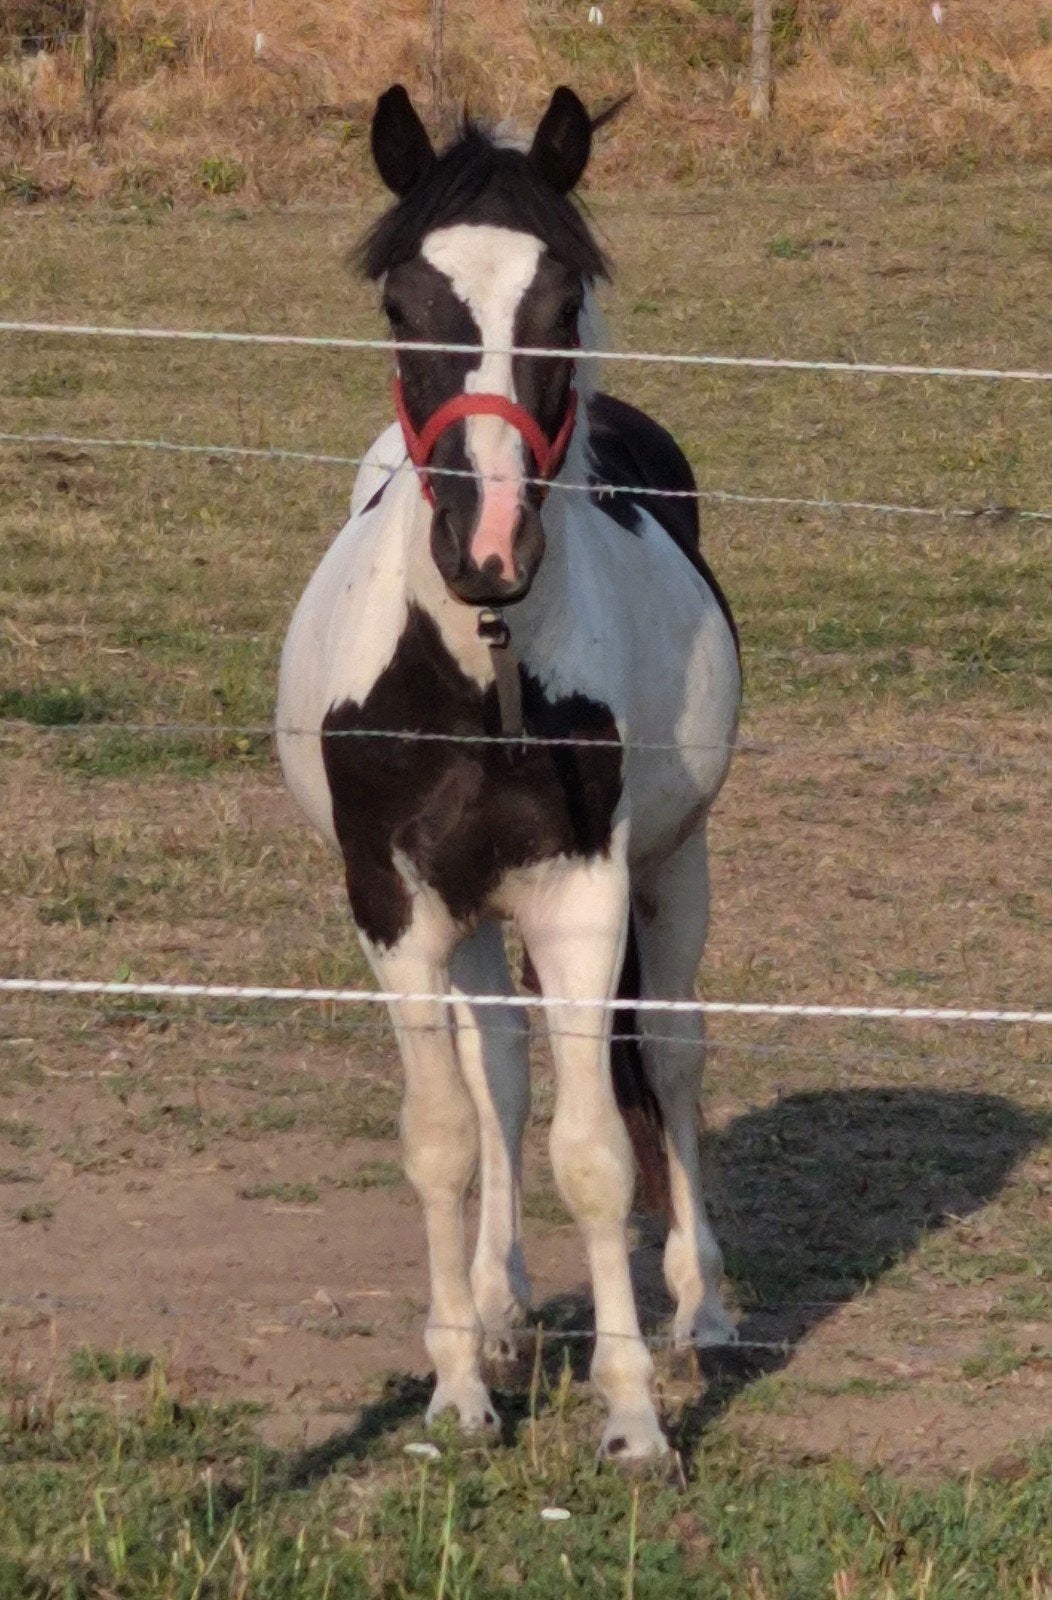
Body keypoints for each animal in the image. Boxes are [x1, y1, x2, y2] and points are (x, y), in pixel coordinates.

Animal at [277, 84, 742, 1460]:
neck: (476, 669)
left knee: (673, 1054)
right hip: (477, 919)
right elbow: (444, 1132)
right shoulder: (395, 906)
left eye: (560, 302)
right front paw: (457, 1385)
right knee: (497, 1075)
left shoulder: (581, 893)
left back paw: (701, 1309)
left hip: (673, 866)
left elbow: (595, 1150)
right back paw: (493, 1307)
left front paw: (632, 1416)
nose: (487, 548)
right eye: (401, 306)